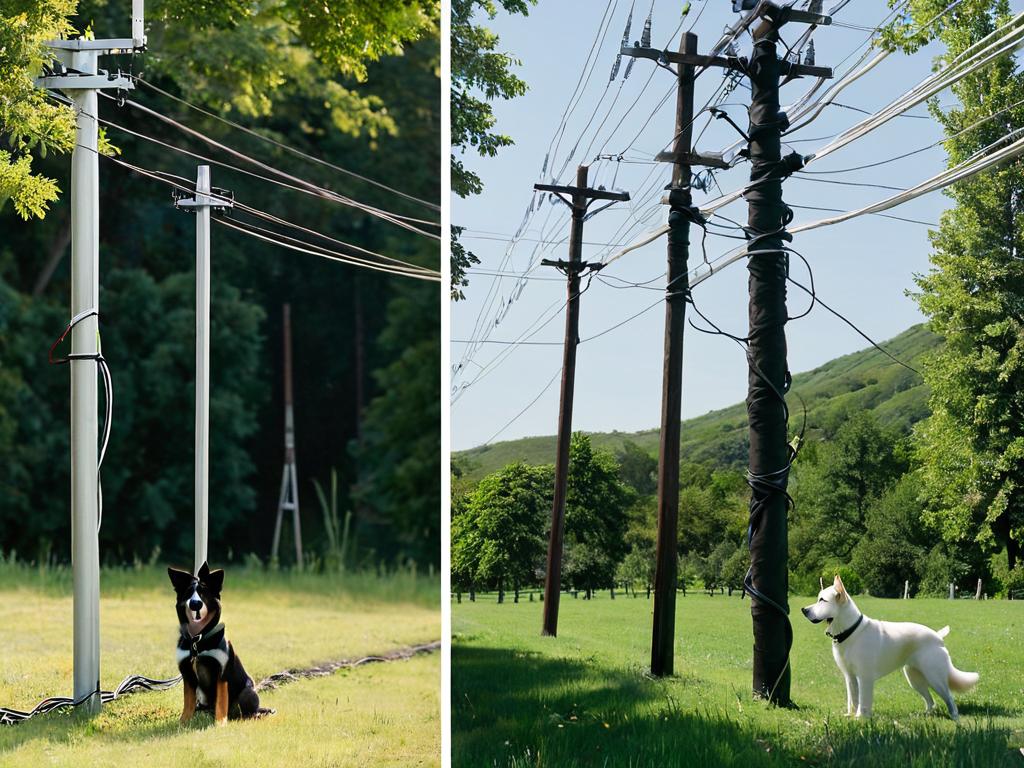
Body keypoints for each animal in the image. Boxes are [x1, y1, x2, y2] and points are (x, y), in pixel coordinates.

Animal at [164, 561, 268, 724]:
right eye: (188, 593)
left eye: (203, 593)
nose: (195, 604)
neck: (198, 639)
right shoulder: (187, 674)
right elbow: (188, 702)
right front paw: (184, 721)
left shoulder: (222, 672)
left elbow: (221, 701)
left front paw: (220, 723)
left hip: (247, 692)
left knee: (248, 710)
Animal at [798, 577, 974, 720]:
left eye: (822, 600)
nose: (804, 610)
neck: (849, 631)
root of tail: (939, 637)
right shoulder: (850, 677)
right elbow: (852, 700)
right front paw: (850, 716)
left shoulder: (864, 678)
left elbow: (863, 701)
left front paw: (860, 718)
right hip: (915, 679)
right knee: (931, 701)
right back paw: (924, 715)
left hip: (935, 678)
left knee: (950, 699)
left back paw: (955, 718)